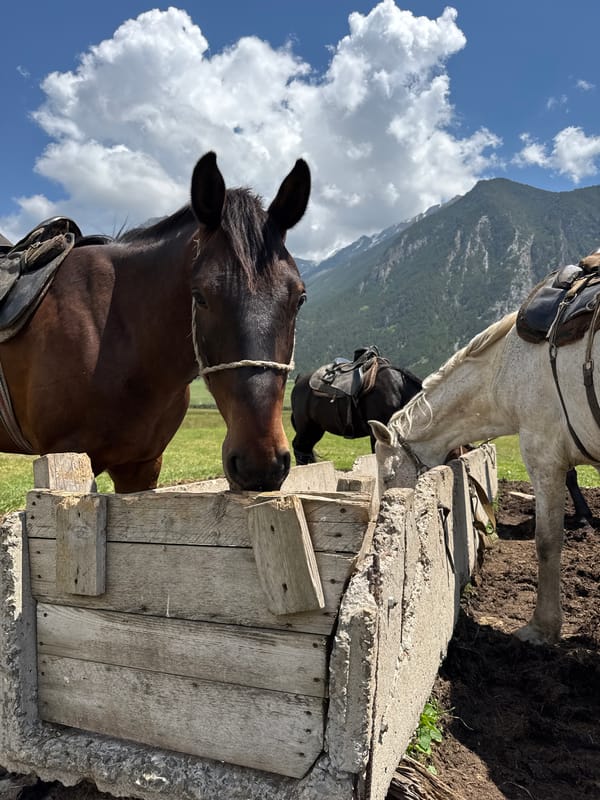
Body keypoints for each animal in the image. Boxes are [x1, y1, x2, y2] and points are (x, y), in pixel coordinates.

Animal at [290, 353, 423, 464]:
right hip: (306, 427)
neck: (397, 390)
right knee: (300, 449)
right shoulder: (377, 434)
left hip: (315, 429)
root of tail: (299, 380)